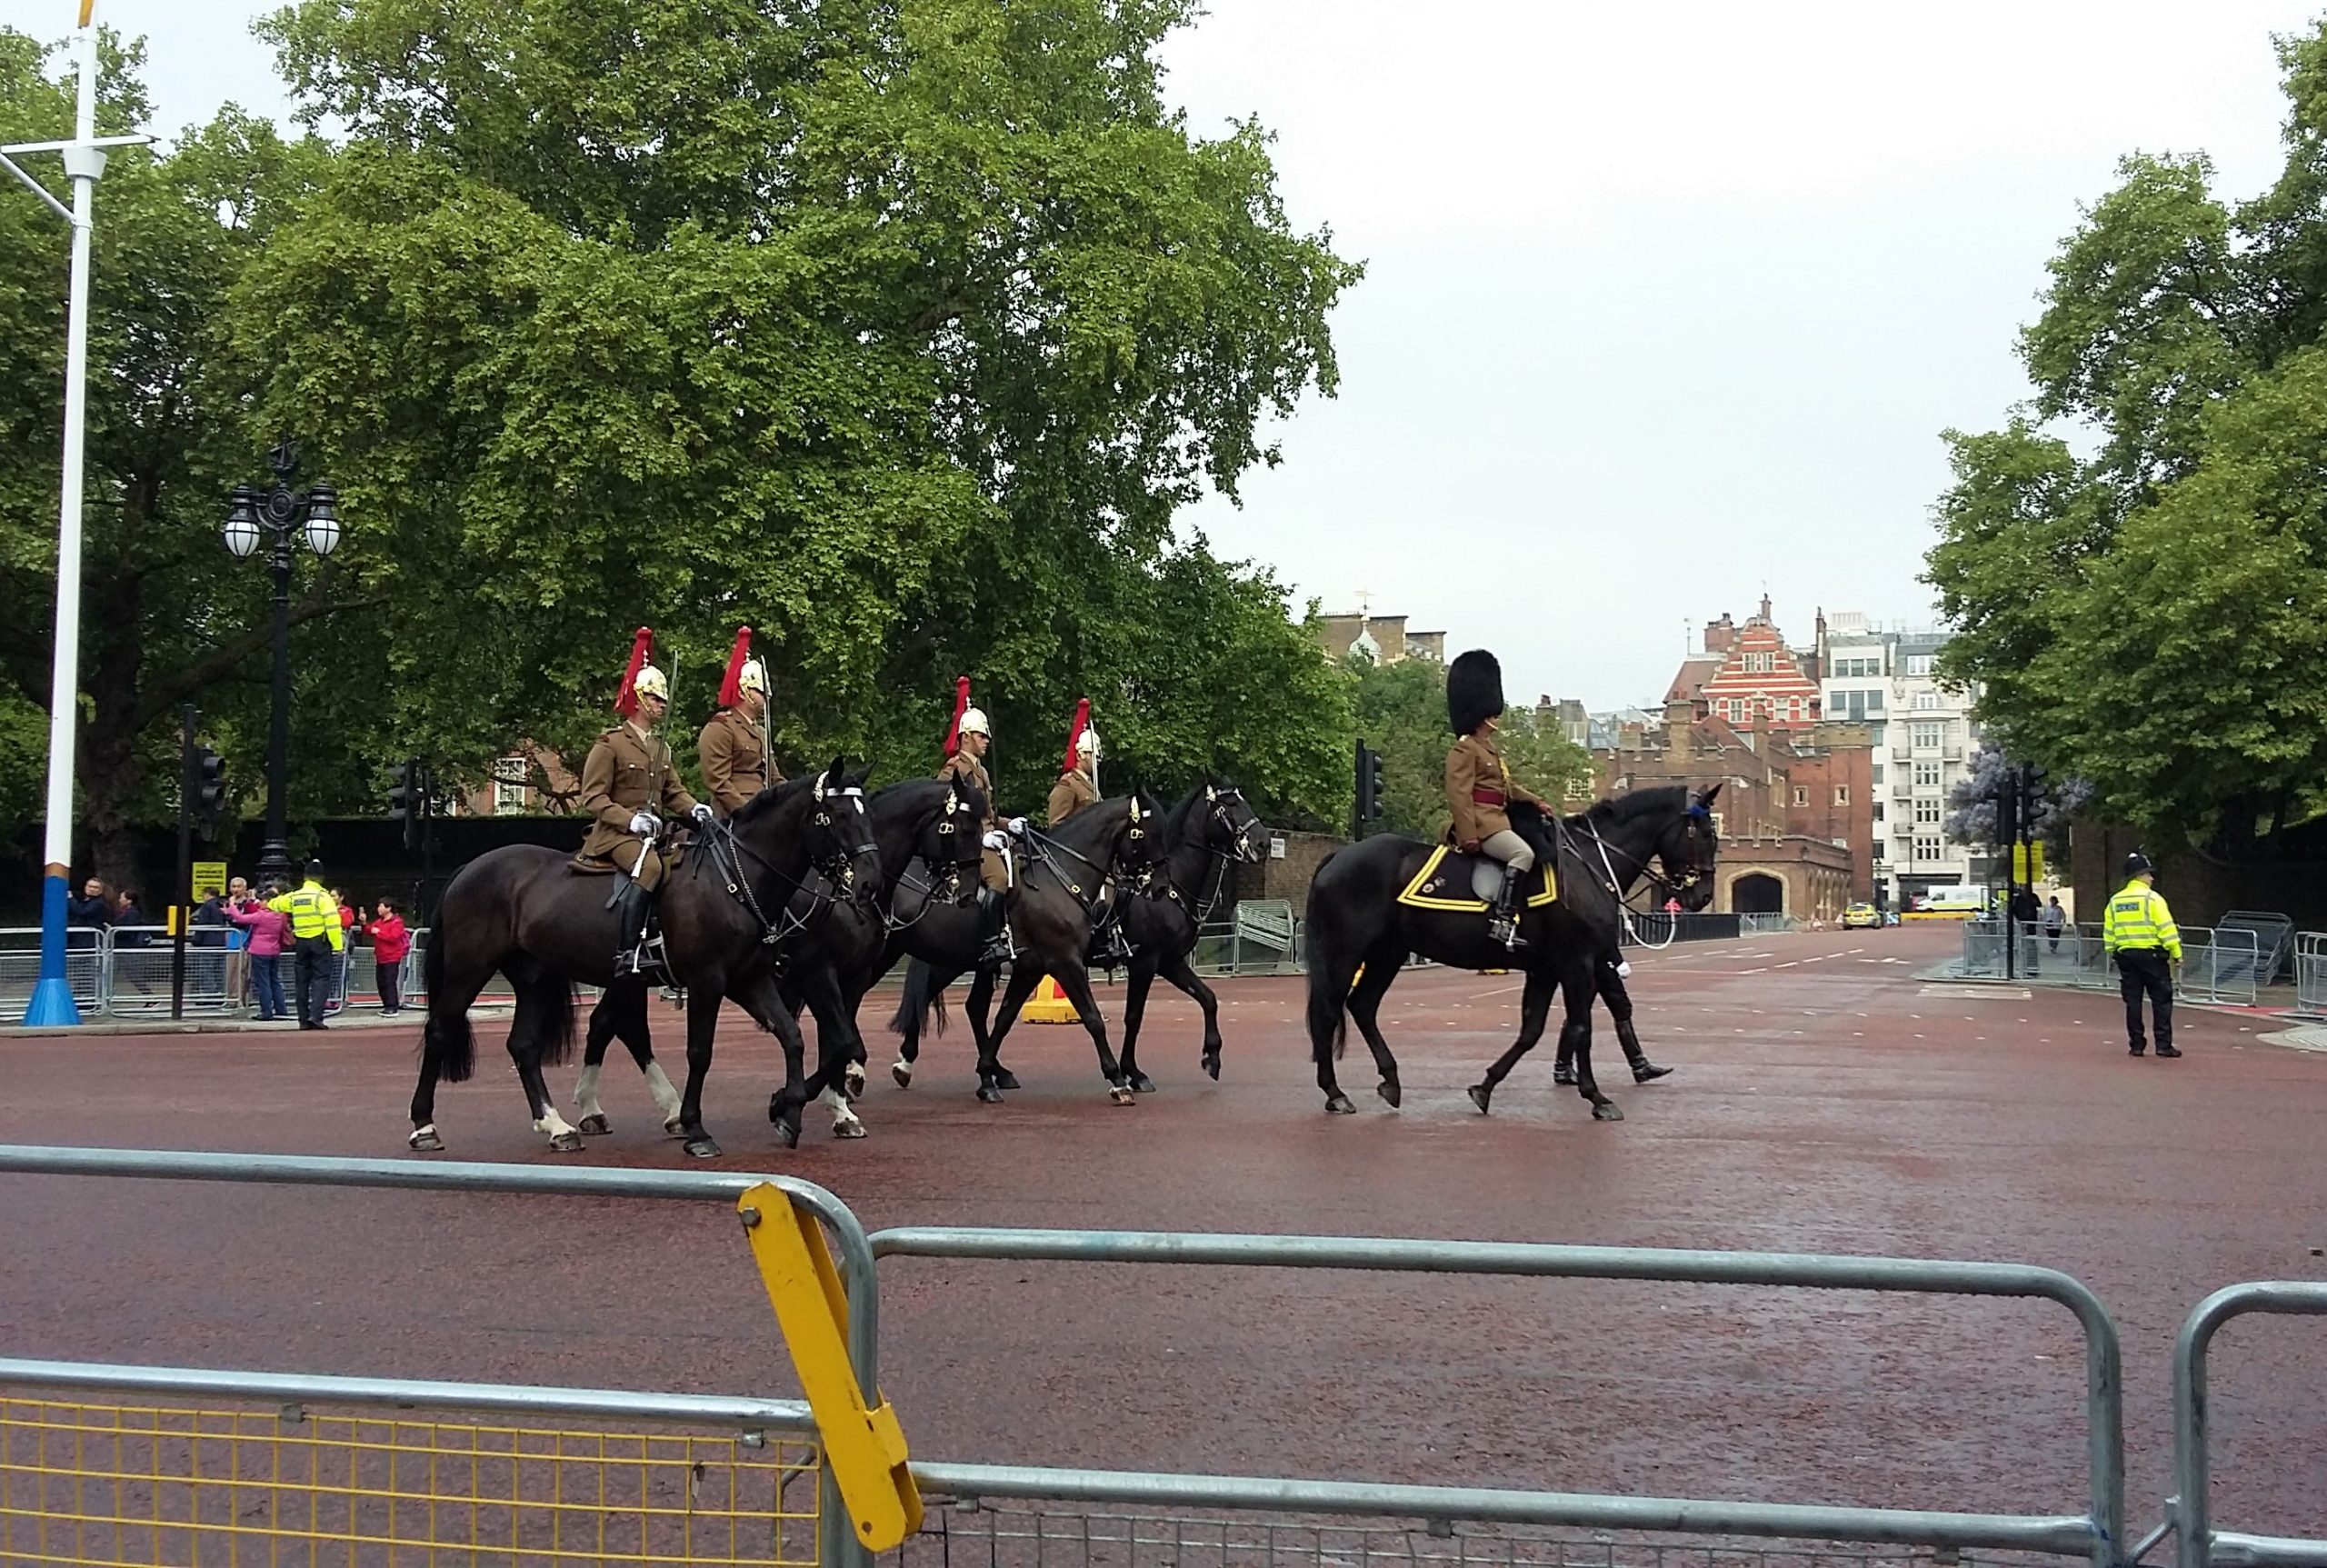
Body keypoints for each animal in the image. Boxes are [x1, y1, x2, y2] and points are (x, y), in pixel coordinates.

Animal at [409, 763, 879, 1154]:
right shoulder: (710, 981)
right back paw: (424, 1125)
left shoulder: (752, 979)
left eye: (866, 813)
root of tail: (469, 868)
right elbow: (700, 1052)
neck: (734, 879)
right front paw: (697, 1129)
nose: (869, 884)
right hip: (469, 969)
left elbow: (794, 1036)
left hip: (535, 976)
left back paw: (559, 1126)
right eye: (838, 815)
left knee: (526, 1044)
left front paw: (787, 1110)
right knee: (440, 1029)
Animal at [884, 795, 1149, 1098]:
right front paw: (1118, 1078)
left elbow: (1004, 1018)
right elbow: (1093, 1017)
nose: (1148, 880)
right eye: (1145, 833)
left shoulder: (1030, 969)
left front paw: (986, 1073)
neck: (1059, 876)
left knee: (962, 1005)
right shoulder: (1066, 963)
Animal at [1112, 776, 1274, 1088]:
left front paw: (1212, 1057)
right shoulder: (1144, 962)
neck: (1168, 886)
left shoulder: (1169, 961)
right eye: (1230, 804)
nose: (1263, 843)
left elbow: (1207, 998)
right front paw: (1133, 1071)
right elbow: (1133, 1016)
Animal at [1303, 786, 1722, 1116]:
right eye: (1705, 834)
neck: (1588, 864)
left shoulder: (1547, 968)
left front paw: (1484, 1087)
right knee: (1328, 1013)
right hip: (1344, 953)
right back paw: (1334, 1093)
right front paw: (1597, 1097)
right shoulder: (1577, 963)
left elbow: (1532, 1031)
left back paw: (1389, 1081)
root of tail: (1338, 856)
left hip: (1387, 953)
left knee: (1362, 1005)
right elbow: (1581, 1027)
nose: (1702, 896)